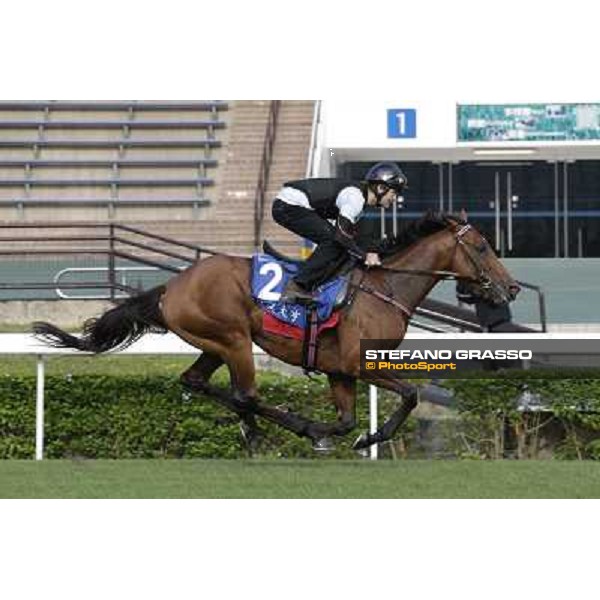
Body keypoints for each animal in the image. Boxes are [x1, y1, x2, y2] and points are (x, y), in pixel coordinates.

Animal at [32, 214, 520, 450]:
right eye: (481, 247)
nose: (511, 287)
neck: (386, 289)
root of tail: (171, 286)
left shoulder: (338, 370)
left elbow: (347, 419)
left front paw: (354, 435)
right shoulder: (359, 364)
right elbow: (412, 395)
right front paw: (360, 436)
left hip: (215, 343)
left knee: (198, 382)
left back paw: (256, 431)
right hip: (234, 339)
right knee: (246, 393)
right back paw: (291, 428)